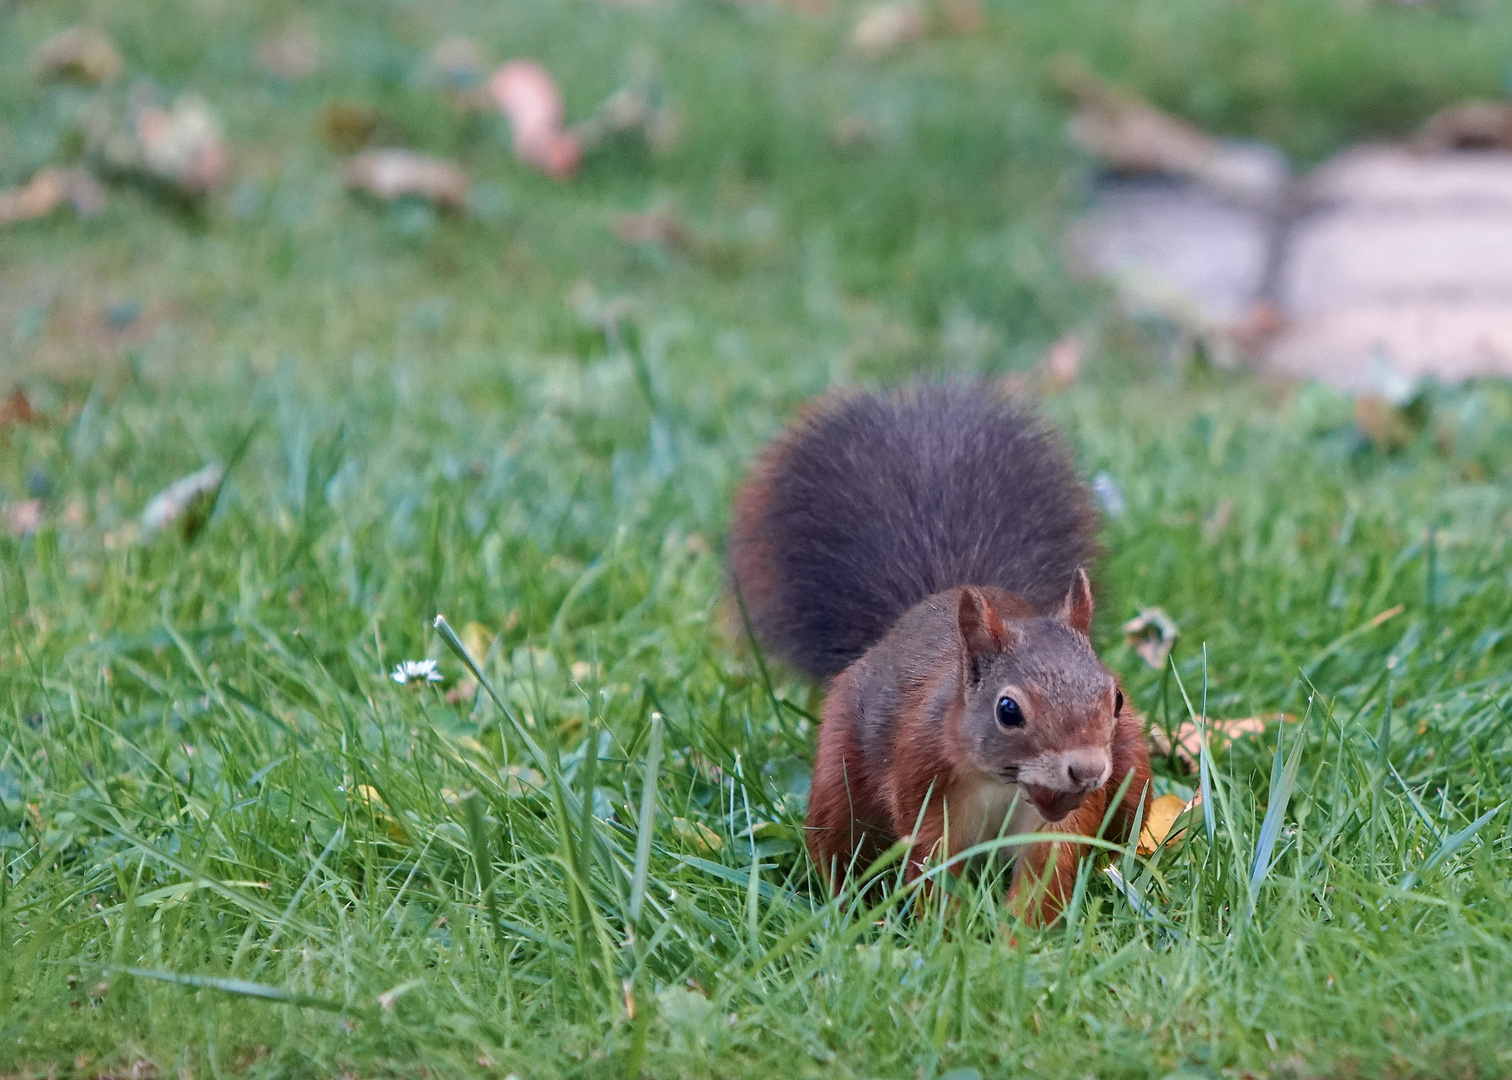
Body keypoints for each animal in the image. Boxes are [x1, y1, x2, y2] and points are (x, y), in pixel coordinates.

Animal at [728, 378, 1143, 919]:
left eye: (1115, 698)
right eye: (1007, 709)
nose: (1088, 770)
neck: (1003, 782)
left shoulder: (1063, 817)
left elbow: (1046, 870)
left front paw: (1017, 936)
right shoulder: (922, 777)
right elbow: (932, 865)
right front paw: (946, 932)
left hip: (1132, 767)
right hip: (840, 775)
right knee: (838, 842)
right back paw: (847, 908)